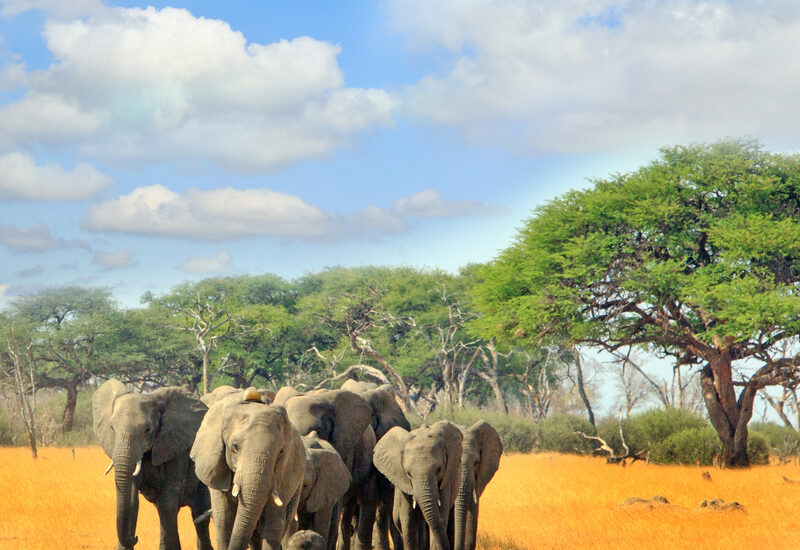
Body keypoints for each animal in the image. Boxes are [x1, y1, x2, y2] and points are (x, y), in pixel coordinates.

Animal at [92, 378, 212, 550]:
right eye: (112, 428)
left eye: (147, 429)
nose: (135, 537)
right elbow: (132, 499)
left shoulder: (177, 448)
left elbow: (168, 500)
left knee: (199, 516)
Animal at [373, 421, 463, 550]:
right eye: (408, 473)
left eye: (439, 470)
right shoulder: (404, 484)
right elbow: (408, 522)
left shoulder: (446, 479)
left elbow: (440, 517)